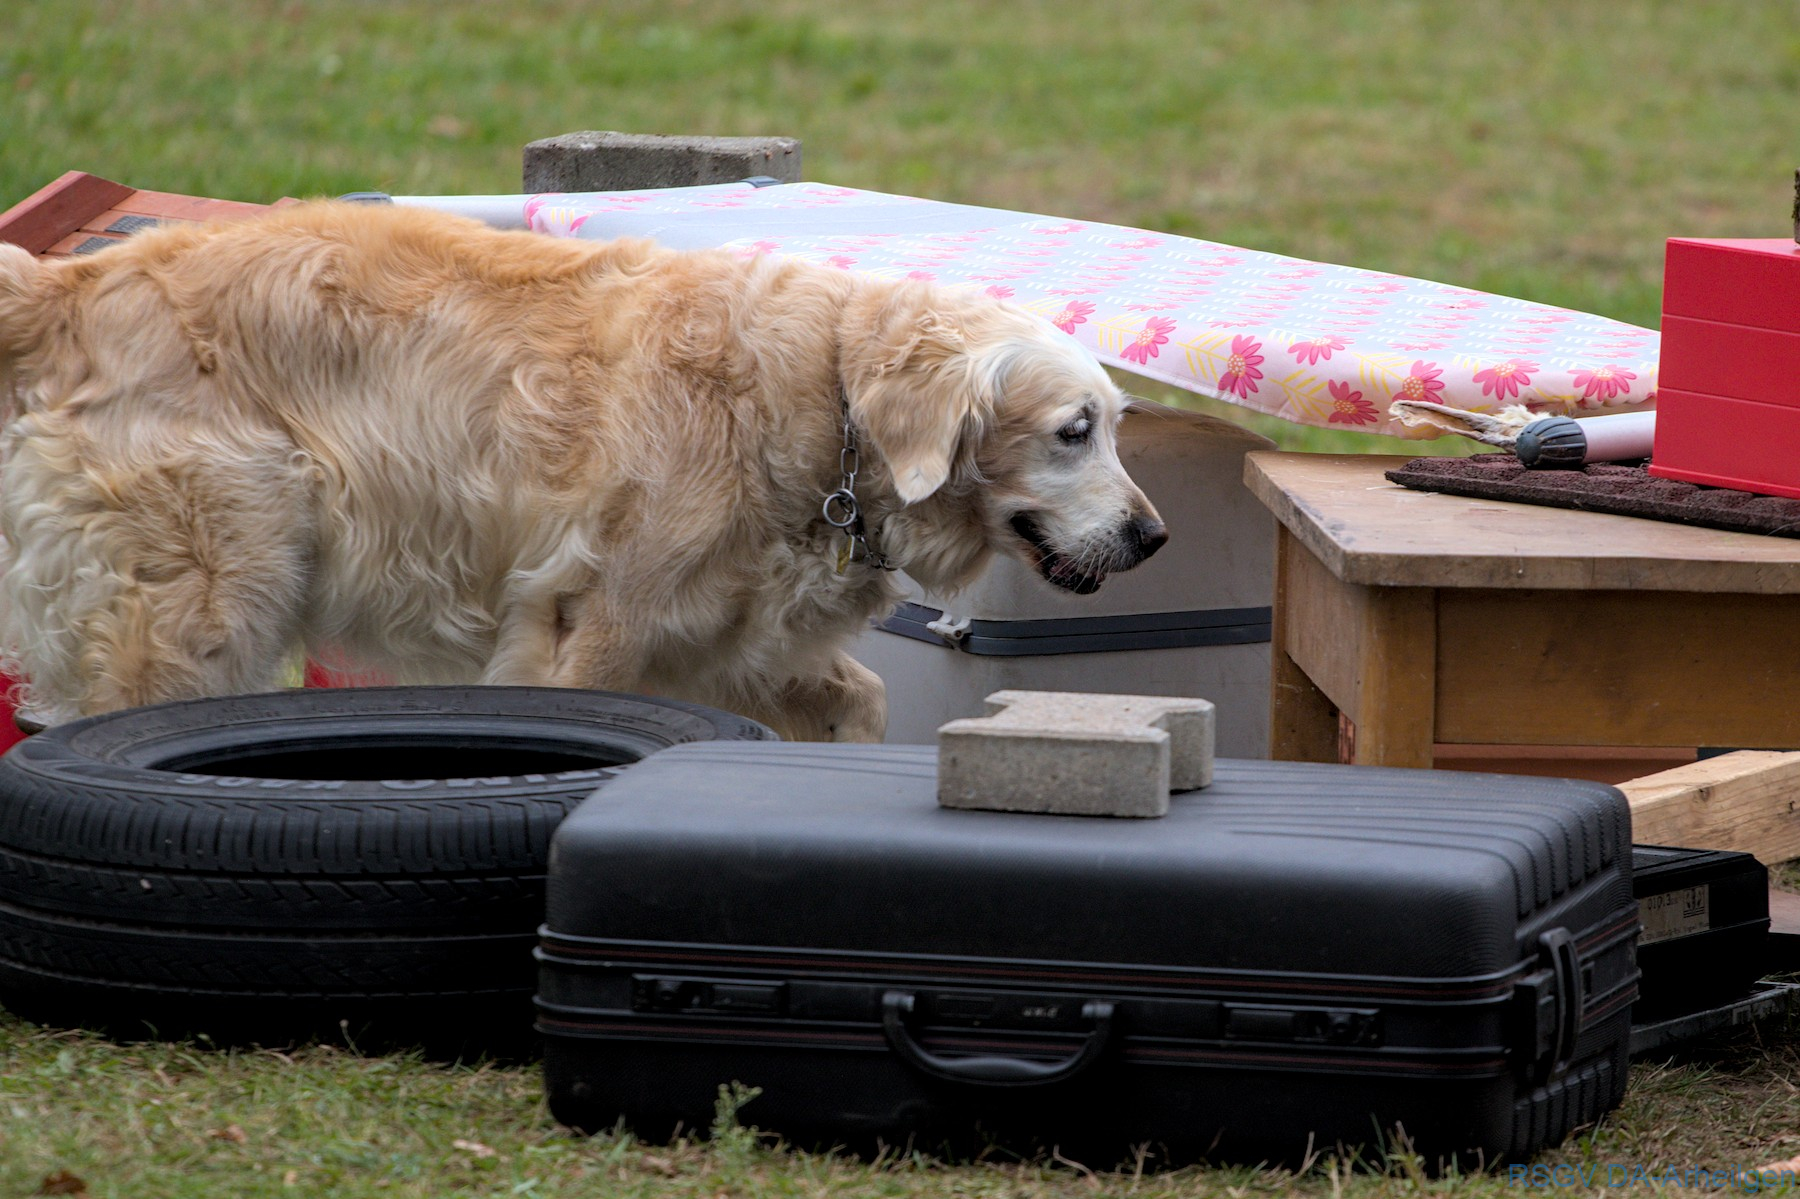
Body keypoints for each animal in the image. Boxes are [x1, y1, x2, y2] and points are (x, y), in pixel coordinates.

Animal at [0, 202, 1165, 740]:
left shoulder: (731, 644)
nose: (1154, 538)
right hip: (211, 588)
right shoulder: (592, 631)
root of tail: (72, 284)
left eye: (1119, 426)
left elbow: (865, 693)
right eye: (1073, 431)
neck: (823, 400)